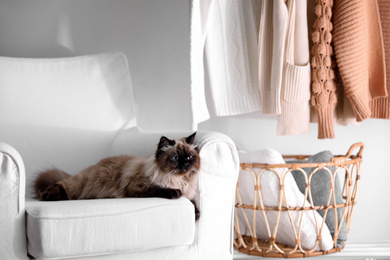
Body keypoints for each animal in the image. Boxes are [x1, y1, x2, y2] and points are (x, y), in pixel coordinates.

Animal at [33, 133, 201, 220]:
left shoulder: (189, 195)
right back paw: (47, 196)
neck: (179, 180)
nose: (185, 164)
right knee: (60, 185)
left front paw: (197, 215)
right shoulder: (138, 187)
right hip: (77, 186)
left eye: (189, 157)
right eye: (175, 158)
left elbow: (193, 203)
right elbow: (161, 189)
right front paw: (175, 193)